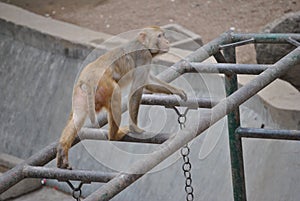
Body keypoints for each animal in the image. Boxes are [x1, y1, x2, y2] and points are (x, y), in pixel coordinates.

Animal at [56, 25, 186, 169]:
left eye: (164, 35)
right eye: (159, 36)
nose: (167, 42)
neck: (142, 44)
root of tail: (88, 79)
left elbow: (147, 82)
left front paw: (177, 91)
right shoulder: (144, 56)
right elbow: (137, 89)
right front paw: (135, 128)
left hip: (80, 94)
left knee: (78, 117)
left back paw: (62, 149)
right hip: (105, 85)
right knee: (116, 94)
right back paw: (114, 135)